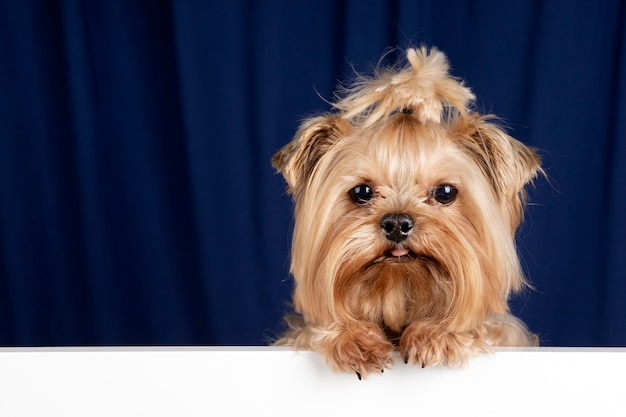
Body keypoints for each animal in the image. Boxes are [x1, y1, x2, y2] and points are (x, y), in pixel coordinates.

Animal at [270, 45, 540, 376]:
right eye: (362, 193)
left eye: (445, 193)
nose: (397, 223)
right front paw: (352, 337)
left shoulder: (509, 335)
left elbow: (485, 326)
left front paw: (438, 333)